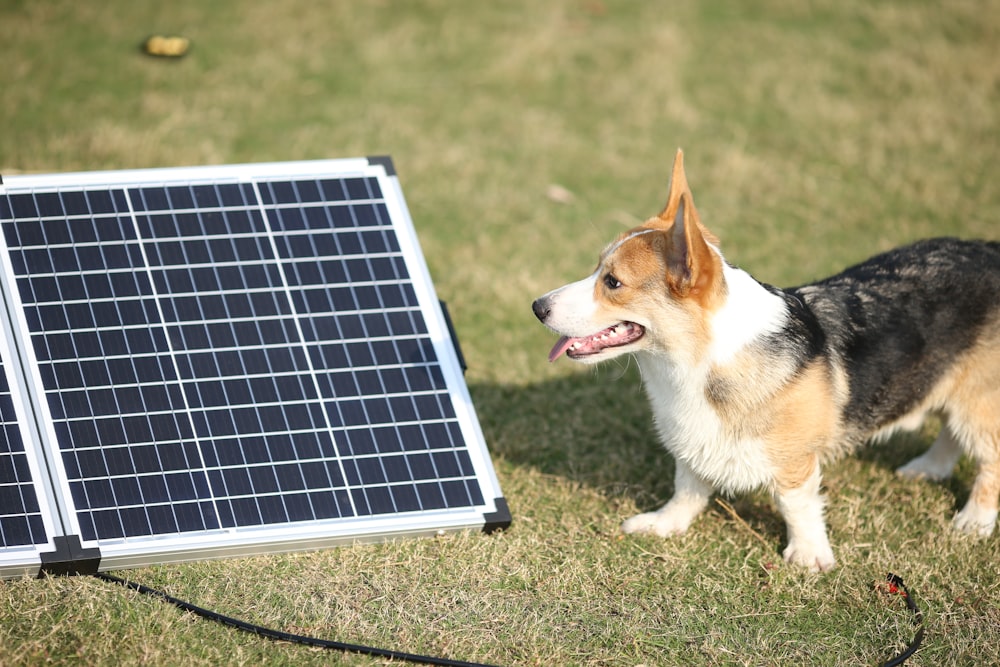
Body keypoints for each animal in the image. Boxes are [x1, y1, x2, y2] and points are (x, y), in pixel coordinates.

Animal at [532, 150, 1000, 568]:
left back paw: (973, 522)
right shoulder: (693, 443)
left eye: (613, 282)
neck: (693, 360)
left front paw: (809, 557)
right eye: (597, 269)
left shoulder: (793, 459)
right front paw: (665, 524)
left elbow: (796, 505)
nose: (537, 307)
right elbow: (686, 487)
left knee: (987, 459)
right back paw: (929, 468)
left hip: (979, 402)